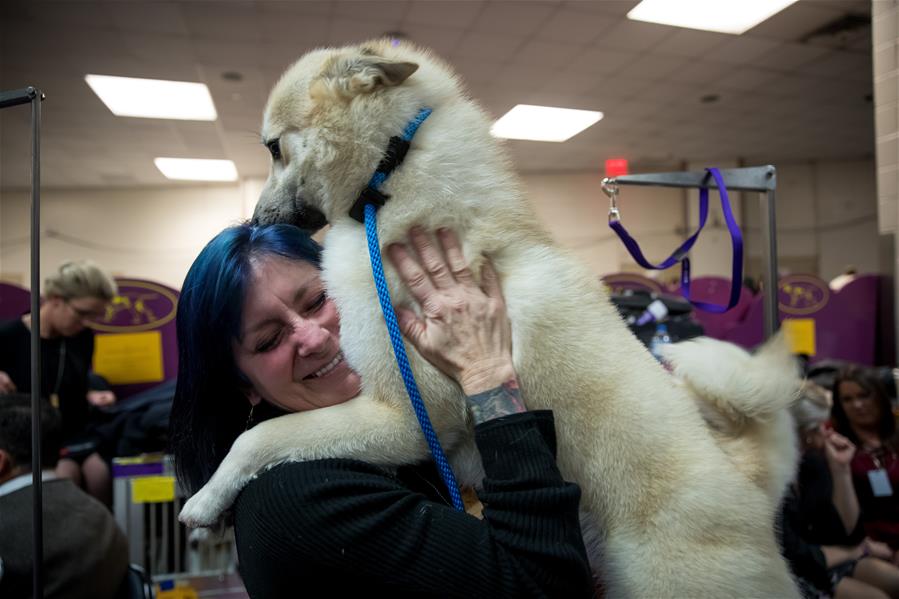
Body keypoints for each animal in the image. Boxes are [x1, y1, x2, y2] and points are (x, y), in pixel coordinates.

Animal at [179, 39, 800, 596]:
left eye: (274, 148)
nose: (254, 222)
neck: (390, 170)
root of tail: (749, 485)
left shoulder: (410, 416)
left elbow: (262, 437)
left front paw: (205, 500)